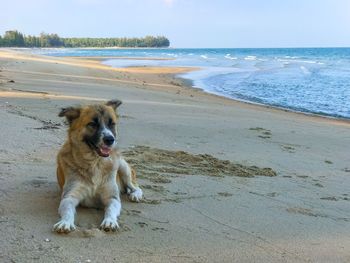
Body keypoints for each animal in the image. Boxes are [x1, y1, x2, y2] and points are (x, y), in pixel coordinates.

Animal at [52, 100, 142, 234]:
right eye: (92, 124)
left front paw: (110, 221)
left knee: (136, 186)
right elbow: (68, 211)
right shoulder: (69, 197)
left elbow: (110, 210)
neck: (95, 162)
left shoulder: (112, 198)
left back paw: (135, 194)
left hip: (123, 168)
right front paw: (65, 222)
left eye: (112, 124)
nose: (110, 139)